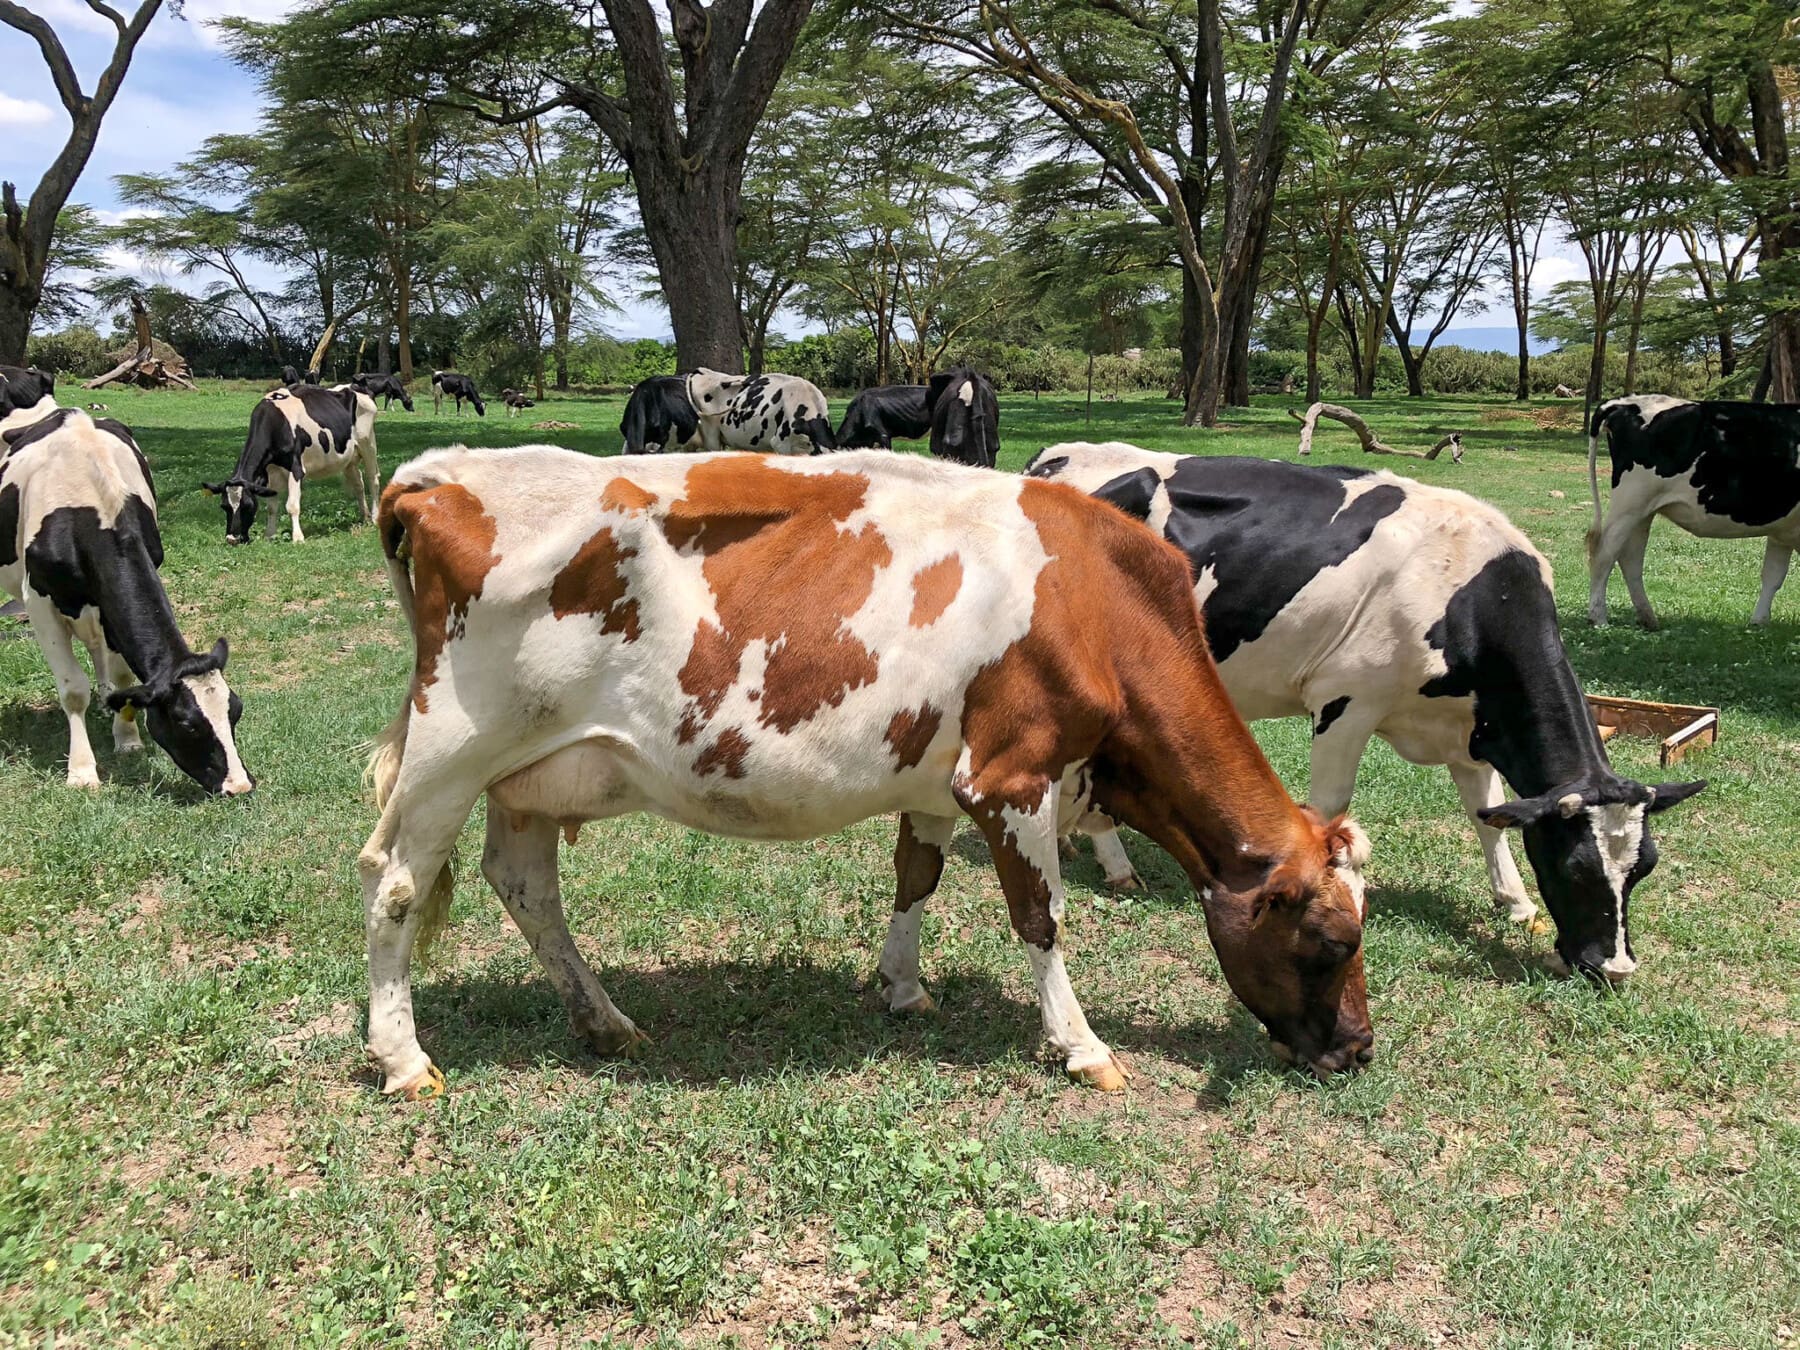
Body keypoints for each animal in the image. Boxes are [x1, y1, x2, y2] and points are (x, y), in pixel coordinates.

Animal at [0, 407, 253, 794]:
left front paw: (127, 738)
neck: (92, 509)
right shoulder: (40, 603)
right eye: (186, 723)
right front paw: (82, 771)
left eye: (234, 710)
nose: (239, 784)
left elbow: (122, 677)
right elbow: (73, 689)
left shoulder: (110, 610)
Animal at [203, 385, 380, 544]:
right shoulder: (270, 472)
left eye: (247, 505)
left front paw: (298, 538)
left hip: (368, 443)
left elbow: (292, 505)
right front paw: (270, 535)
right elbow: (271, 507)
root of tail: (355, 387)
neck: (276, 423)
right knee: (358, 483)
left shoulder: (296, 468)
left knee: (373, 479)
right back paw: (365, 517)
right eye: (224, 506)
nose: (232, 539)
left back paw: (375, 517)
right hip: (349, 458)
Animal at [358, 445, 1375, 1100]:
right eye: (1332, 942)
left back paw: (604, 1021)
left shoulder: (939, 779)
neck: (1099, 602)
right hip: (451, 753)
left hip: (528, 772)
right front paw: (1082, 1046)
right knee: (396, 887)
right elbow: (1040, 919)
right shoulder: (1013, 776)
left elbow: (916, 878)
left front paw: (901, 985)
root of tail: (439, 473)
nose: (1360, 1050)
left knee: (524, 886)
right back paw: (403, 1060)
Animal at [1027, 442, 1706, 985]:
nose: (1614, 967)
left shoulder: (1473, 730)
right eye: (1576, 866)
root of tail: (1055, 458)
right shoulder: (1346, 701)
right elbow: (1330, 809)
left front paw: (1514, 903)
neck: (1469, 592)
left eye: (1643, 868)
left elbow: (1487, 817)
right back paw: (1114, 863)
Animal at [1586, 396, 1800, 628]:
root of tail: (1624, 402)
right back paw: (1599, 618)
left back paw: (1648, 617)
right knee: (1604, 554)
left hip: (1642, 512)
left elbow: (1773, 575)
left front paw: (1758, 622)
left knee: (1630, 558)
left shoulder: (1782, 531)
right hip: (1630, 503)